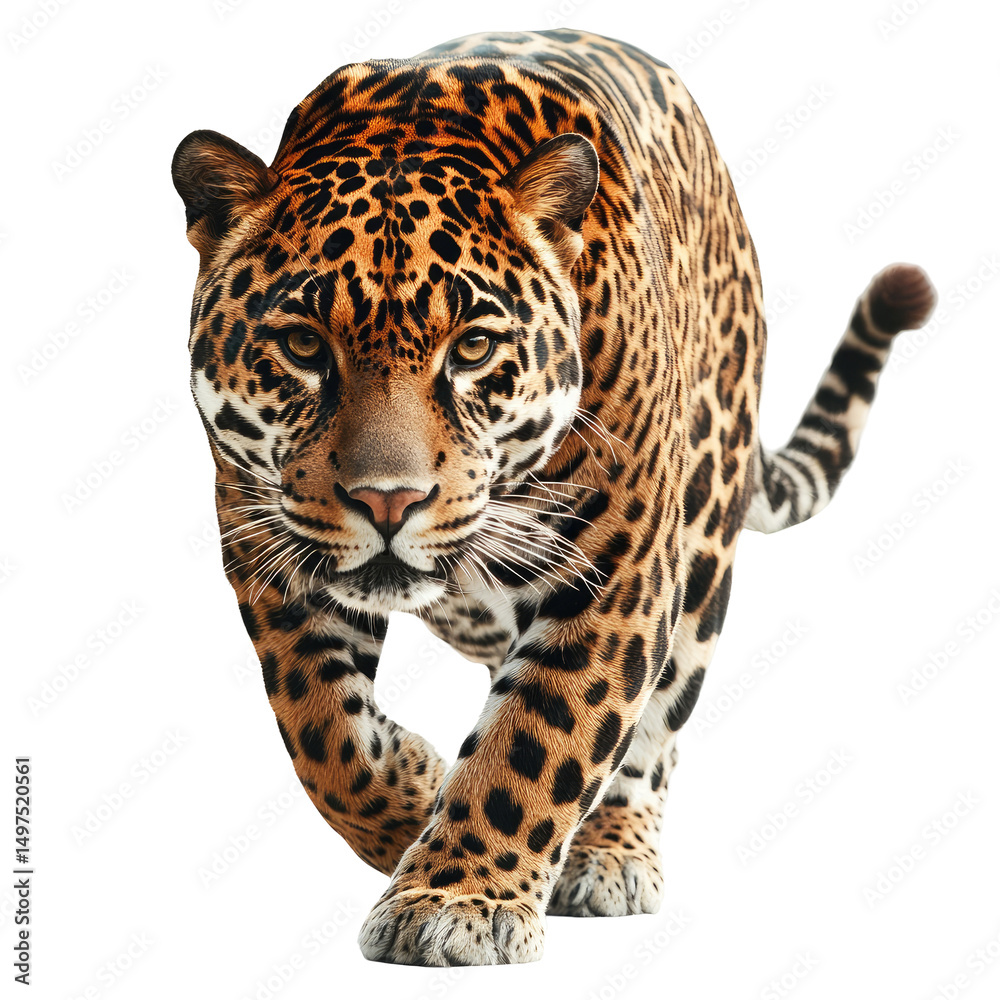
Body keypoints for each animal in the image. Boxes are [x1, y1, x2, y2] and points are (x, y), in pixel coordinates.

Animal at [171, 28, 936, 966]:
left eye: (472, 348)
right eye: (305, 346)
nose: (389, 501)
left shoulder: (613, 576)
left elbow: (537, 740)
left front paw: (453, 901)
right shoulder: (269, 550)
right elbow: (321, 731)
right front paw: (414, 798)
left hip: (702, 544)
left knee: (656, 720)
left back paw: (609, 853)